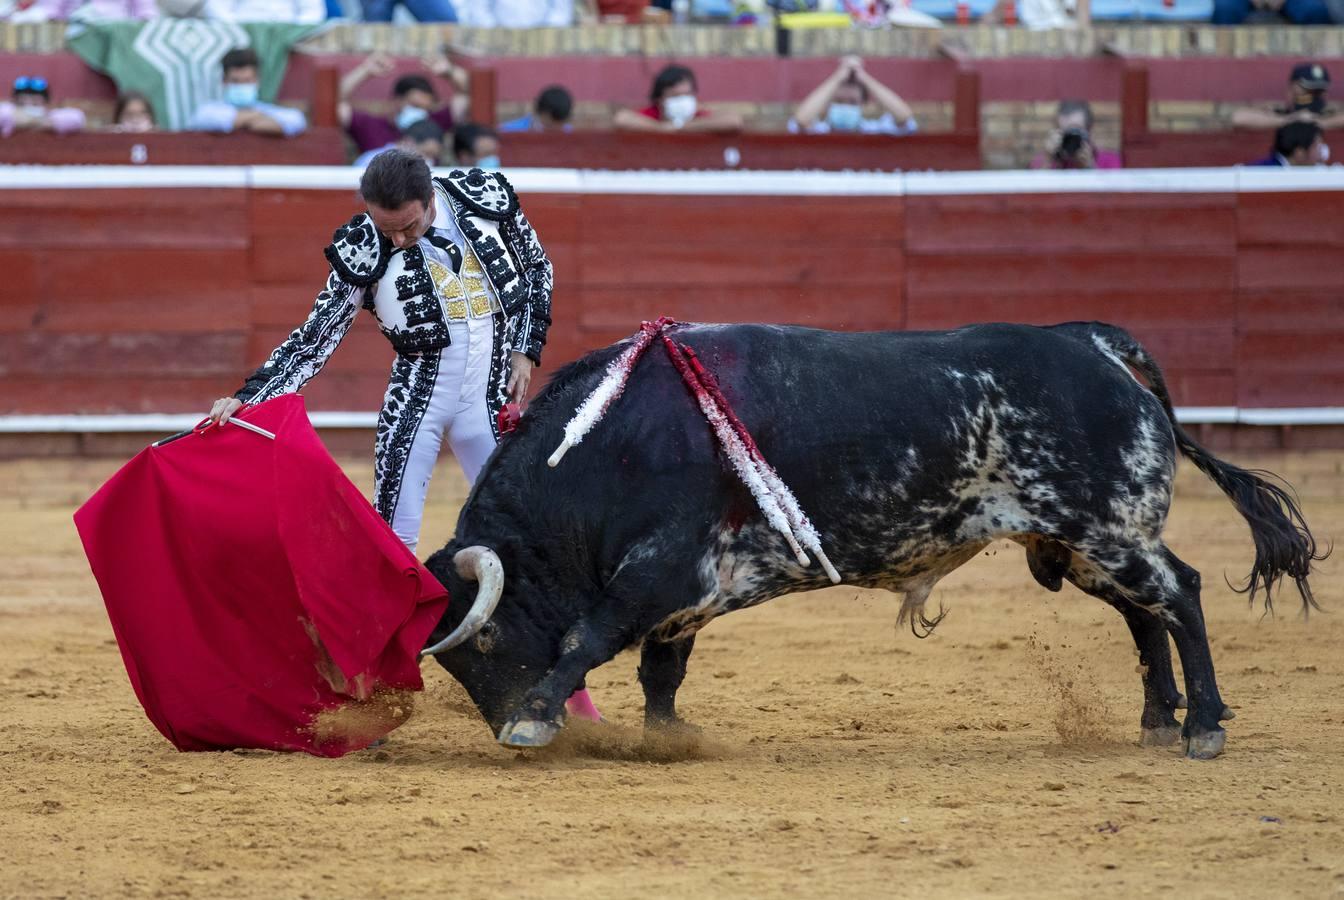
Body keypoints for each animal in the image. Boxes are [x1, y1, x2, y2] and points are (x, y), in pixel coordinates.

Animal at [419, 325, 1322, 762]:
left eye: (486, 640)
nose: (496, 723)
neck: (613, 441)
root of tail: (1095, 345)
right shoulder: (690, 589)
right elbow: (660, 668)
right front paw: (665, 741)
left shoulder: (661, 571)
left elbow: (589, 637)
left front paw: (533, 719)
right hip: (1081, 540)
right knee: (1144, 614)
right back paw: (1157, 720)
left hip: (1107, 527)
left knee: (1181, 593)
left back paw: (1202, 727)